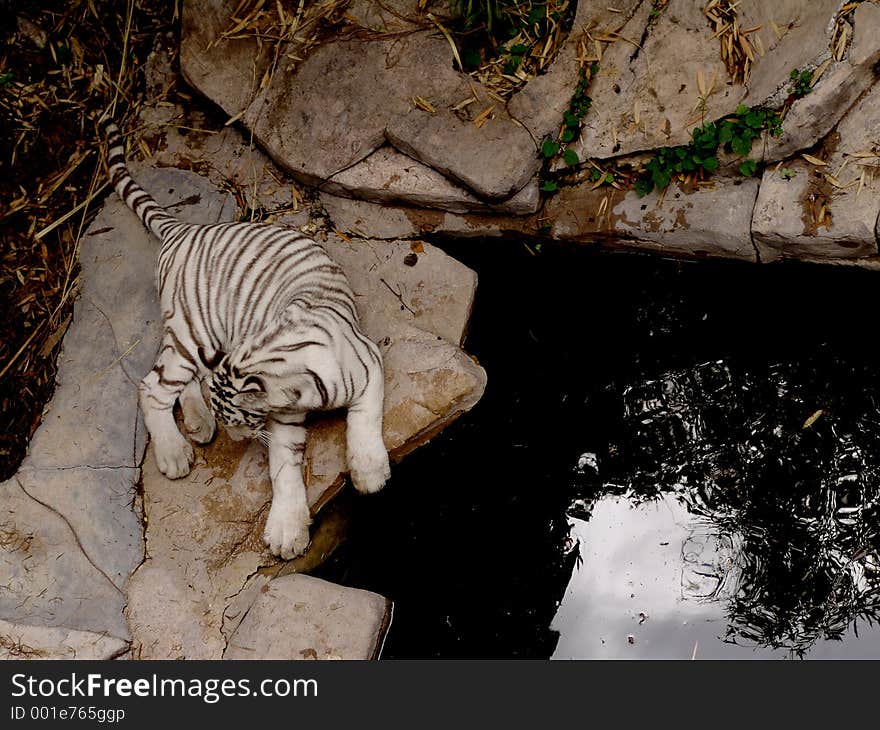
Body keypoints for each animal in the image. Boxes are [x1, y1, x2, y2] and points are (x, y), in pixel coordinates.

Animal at [105, 121, 390, 556]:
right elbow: (284, 468)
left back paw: (197, 422)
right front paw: (288, 531)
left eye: (241, 419)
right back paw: (175, 452)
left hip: (197, 336)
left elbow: (364, 418)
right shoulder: (283, 417)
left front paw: (369, 473)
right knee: (153, 386)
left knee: (177, 378)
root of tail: (183, 228)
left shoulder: (370, 362)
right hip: (195, 329)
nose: (236, 438)